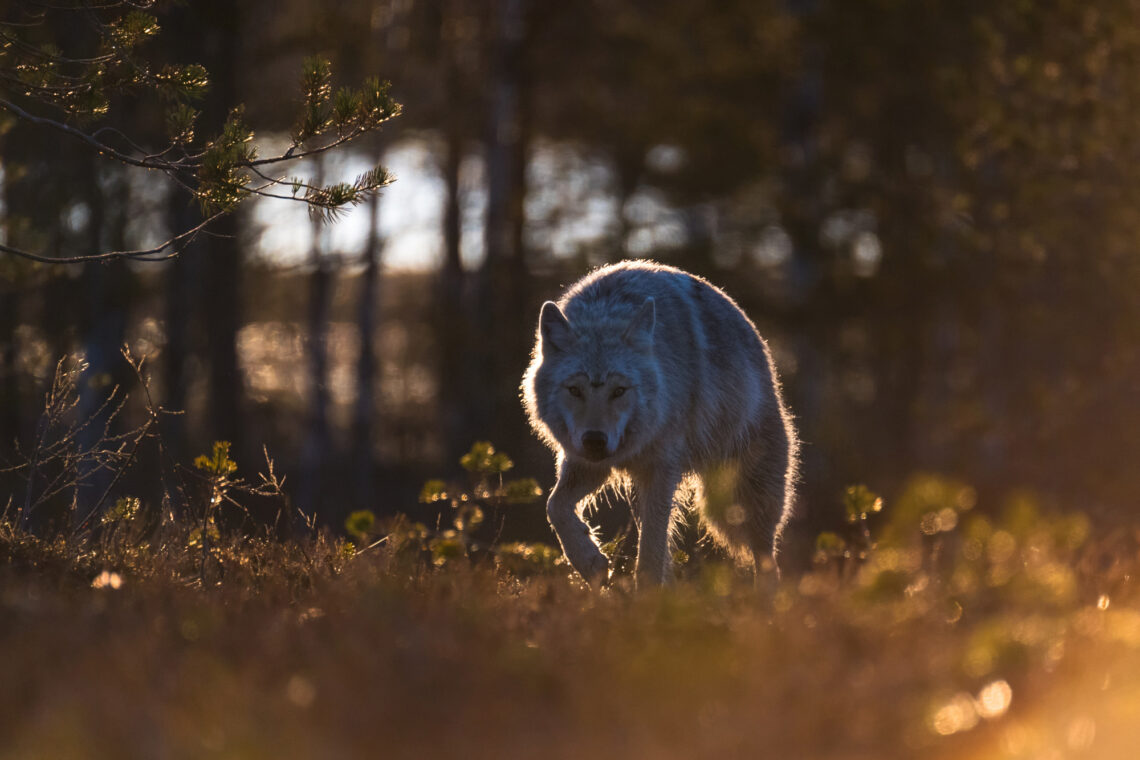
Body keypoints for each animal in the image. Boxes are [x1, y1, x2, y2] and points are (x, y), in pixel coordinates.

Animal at [522, 258, 798, 587]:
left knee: (766, 555)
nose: (595, 440)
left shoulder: (661, 469)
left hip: (745, 496)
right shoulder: (586, 463)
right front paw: (590, 562)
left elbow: (650, 557)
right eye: (575, 390)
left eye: (619, 391)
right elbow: (555, 507)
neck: (604, 313)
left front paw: (648, 597)